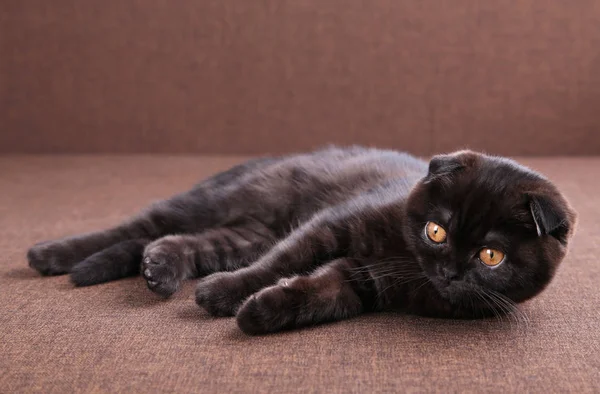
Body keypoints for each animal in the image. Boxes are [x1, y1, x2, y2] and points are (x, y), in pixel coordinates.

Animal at [28, 148, 576, 336]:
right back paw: (51, 256)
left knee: (175, 240)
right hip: (217, 202)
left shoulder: (362, 279)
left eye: (490, 256)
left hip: (243, 233)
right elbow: (279, 263)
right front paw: (222, 294)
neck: (407, 263)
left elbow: (317, 295)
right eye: (436, 231)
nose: (450, 271)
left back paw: (158, 269)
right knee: (140, 225)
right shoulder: (331, 227)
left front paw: (256, 314)